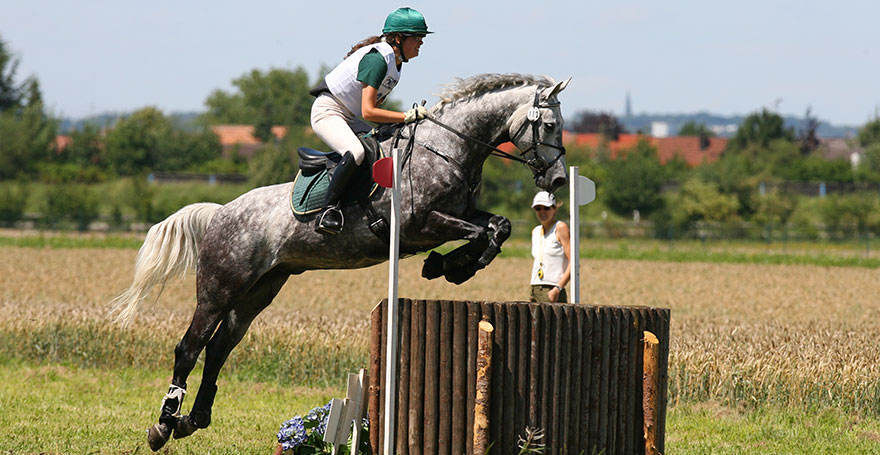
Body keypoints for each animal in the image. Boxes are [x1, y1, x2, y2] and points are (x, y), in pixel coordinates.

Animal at [113, 73, 572, 450]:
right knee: (189, 348)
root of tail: (220, 213)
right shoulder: (421, 224)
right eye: (549, 125)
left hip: (260, 290)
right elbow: (480, 233)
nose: (558, 180)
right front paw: (447, 266)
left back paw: (194, 420)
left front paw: (455, 267)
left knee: (220, 347)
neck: (449, 150)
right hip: (220, 287)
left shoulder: (459, 215)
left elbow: (498, 227)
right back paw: (163, 425)